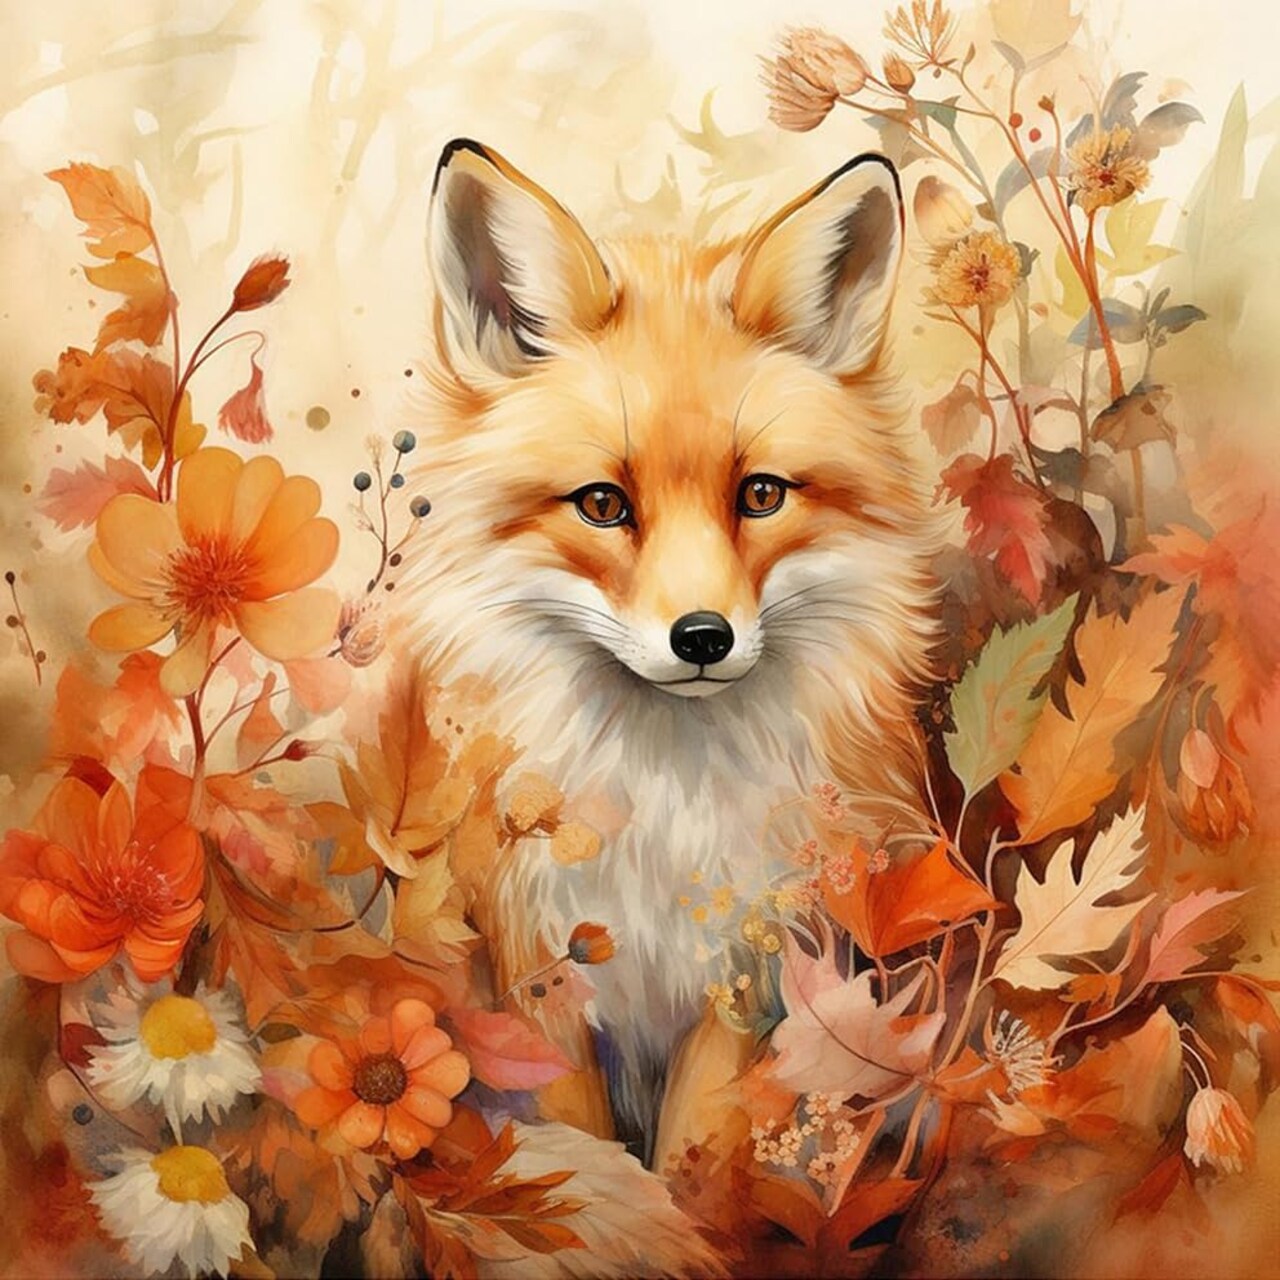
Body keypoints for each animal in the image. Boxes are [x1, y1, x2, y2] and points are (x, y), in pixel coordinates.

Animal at [403, 138, 944, 1163]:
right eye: (603, 504)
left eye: (761, 495)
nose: (702, 637)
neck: (664, 811)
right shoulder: (541, 966)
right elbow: (584, 1148)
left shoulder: (751, 964)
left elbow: (693, 1155)